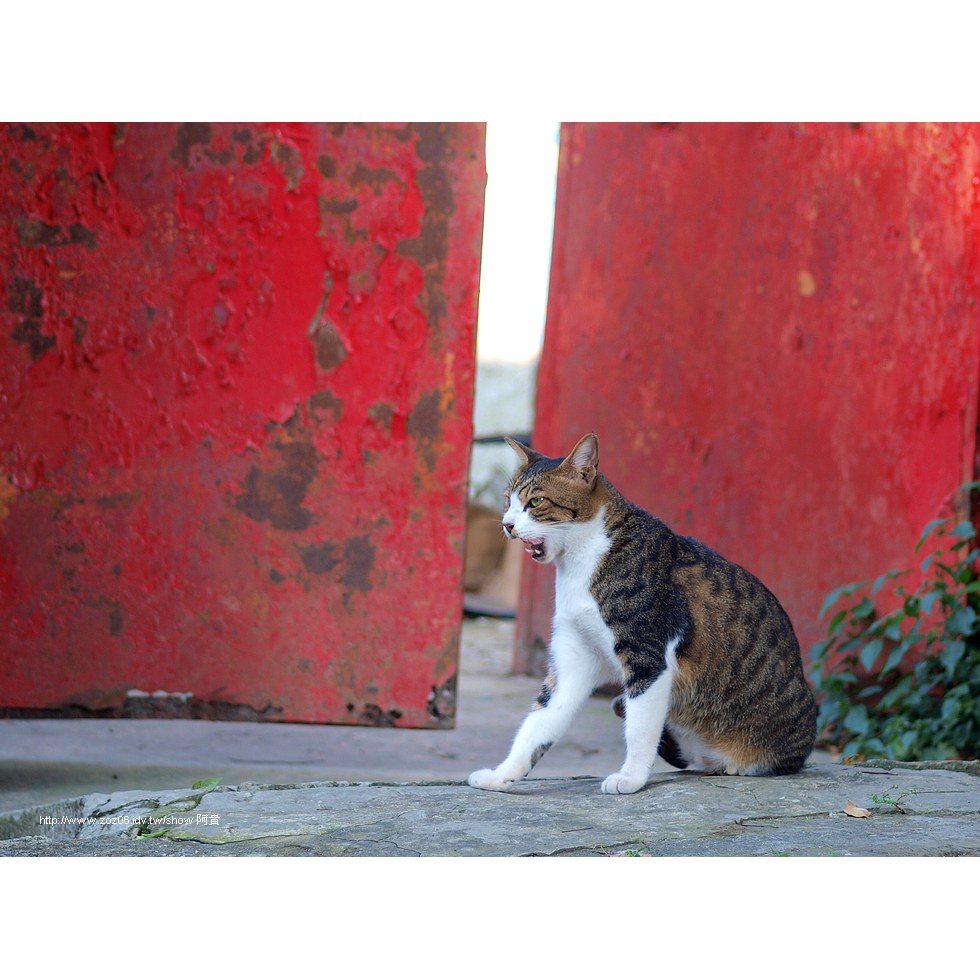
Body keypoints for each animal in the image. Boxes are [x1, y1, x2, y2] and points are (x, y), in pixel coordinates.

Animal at [468, 436, 820, 796]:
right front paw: (501, 775)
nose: (508, 525)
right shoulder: (573, 657)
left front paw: (631, 778)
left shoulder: (647, 654)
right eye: (507, 502)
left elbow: (639, 728)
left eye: (536, 501)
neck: (583, 559)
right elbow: (539, 723)